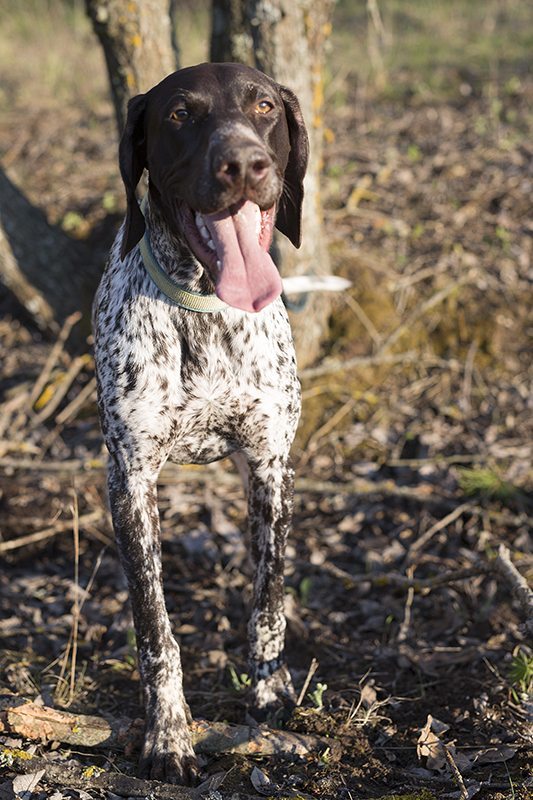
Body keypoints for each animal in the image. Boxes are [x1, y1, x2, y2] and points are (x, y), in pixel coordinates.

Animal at [91, 61, 308, 780]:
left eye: (264, 106)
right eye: (180, 114)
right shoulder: (130, 484)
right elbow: (155, 630)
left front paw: (270, 696)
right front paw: (169, 735)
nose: (243, 164)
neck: (207, 310)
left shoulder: (270, 467)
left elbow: (268, 602)